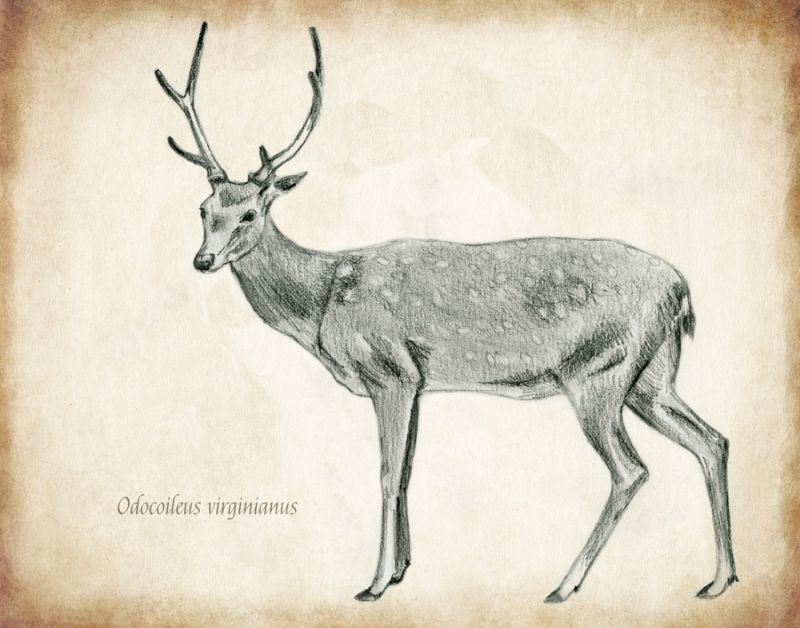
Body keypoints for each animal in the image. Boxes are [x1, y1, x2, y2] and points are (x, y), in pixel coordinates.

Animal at [155, 22, 737, 603]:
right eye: (204, 210)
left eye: (250, 213)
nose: (202, 260)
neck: (324, 302)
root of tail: (681, 290)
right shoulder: (418, 382)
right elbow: (409, 471)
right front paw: (402, 570)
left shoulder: (389, 371)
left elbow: (387, 473)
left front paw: (373, 583)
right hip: (651, 378)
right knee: (712, 440)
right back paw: (719, 579)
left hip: (599, 372)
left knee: (632, 469)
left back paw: (565, 584)